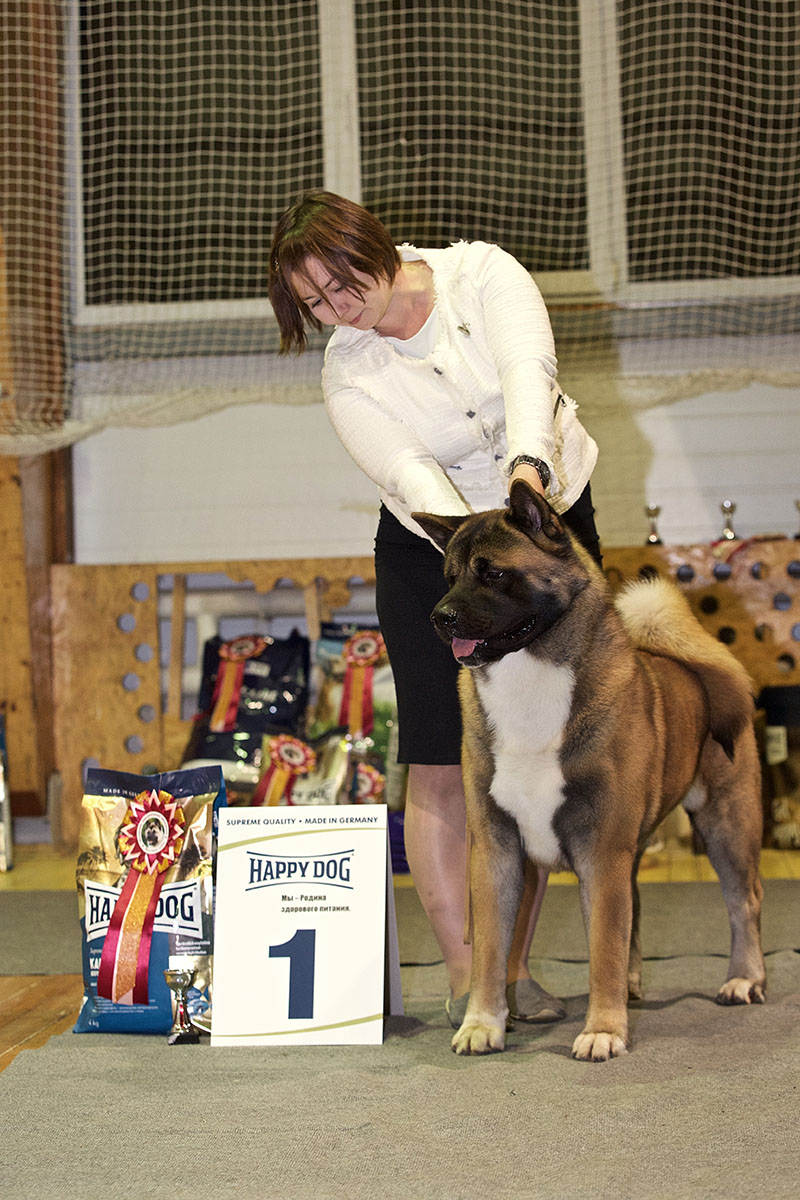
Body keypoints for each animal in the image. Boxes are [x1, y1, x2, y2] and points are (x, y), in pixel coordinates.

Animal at [417, 477, 767, 1060]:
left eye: (494, 573)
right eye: (449, 577)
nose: (439, 618)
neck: (531, 679)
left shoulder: (601, 851)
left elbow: (602, 945)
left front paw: (603, 1029)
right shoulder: (495, 849)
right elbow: (491, 949)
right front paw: (483, 1023)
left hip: (727, 821)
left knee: (744, 902)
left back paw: (744, 980)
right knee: (639, 912)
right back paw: (634, 986)